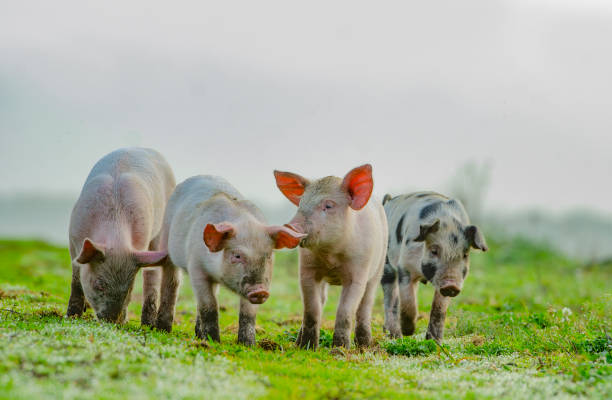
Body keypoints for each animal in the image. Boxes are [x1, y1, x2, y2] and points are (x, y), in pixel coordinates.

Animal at [154, 177, 304, 346]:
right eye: (237, 256)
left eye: (268, 255)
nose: (260, 290)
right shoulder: (196, 267)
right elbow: (209, 306)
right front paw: (214, 341)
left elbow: (248, 313)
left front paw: (248, 344)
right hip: (165, 238)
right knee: (171, 281)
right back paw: (163, 330)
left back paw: (198, 335)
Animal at [274, 164, 388, 348]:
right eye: (301, 204)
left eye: (328, 206)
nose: (290, 226)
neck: (330, 256)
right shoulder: (307, 270)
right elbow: (311, 310)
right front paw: (308, 348)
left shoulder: (358, 271)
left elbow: (345, 310)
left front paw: (340, 348)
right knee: (321, 301)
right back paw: (298, 344)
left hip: (378, 268)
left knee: (365, 304)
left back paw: (364, 345)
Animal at [382, 192, 488, 342]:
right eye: (434, 251)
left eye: (465, 254)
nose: (451, 284)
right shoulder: (405, 266)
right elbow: (408, 301)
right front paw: (409, 331)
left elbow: (439, 309)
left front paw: (435, 341)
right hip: (386, 263)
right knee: (390, 298)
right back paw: (396, 336)